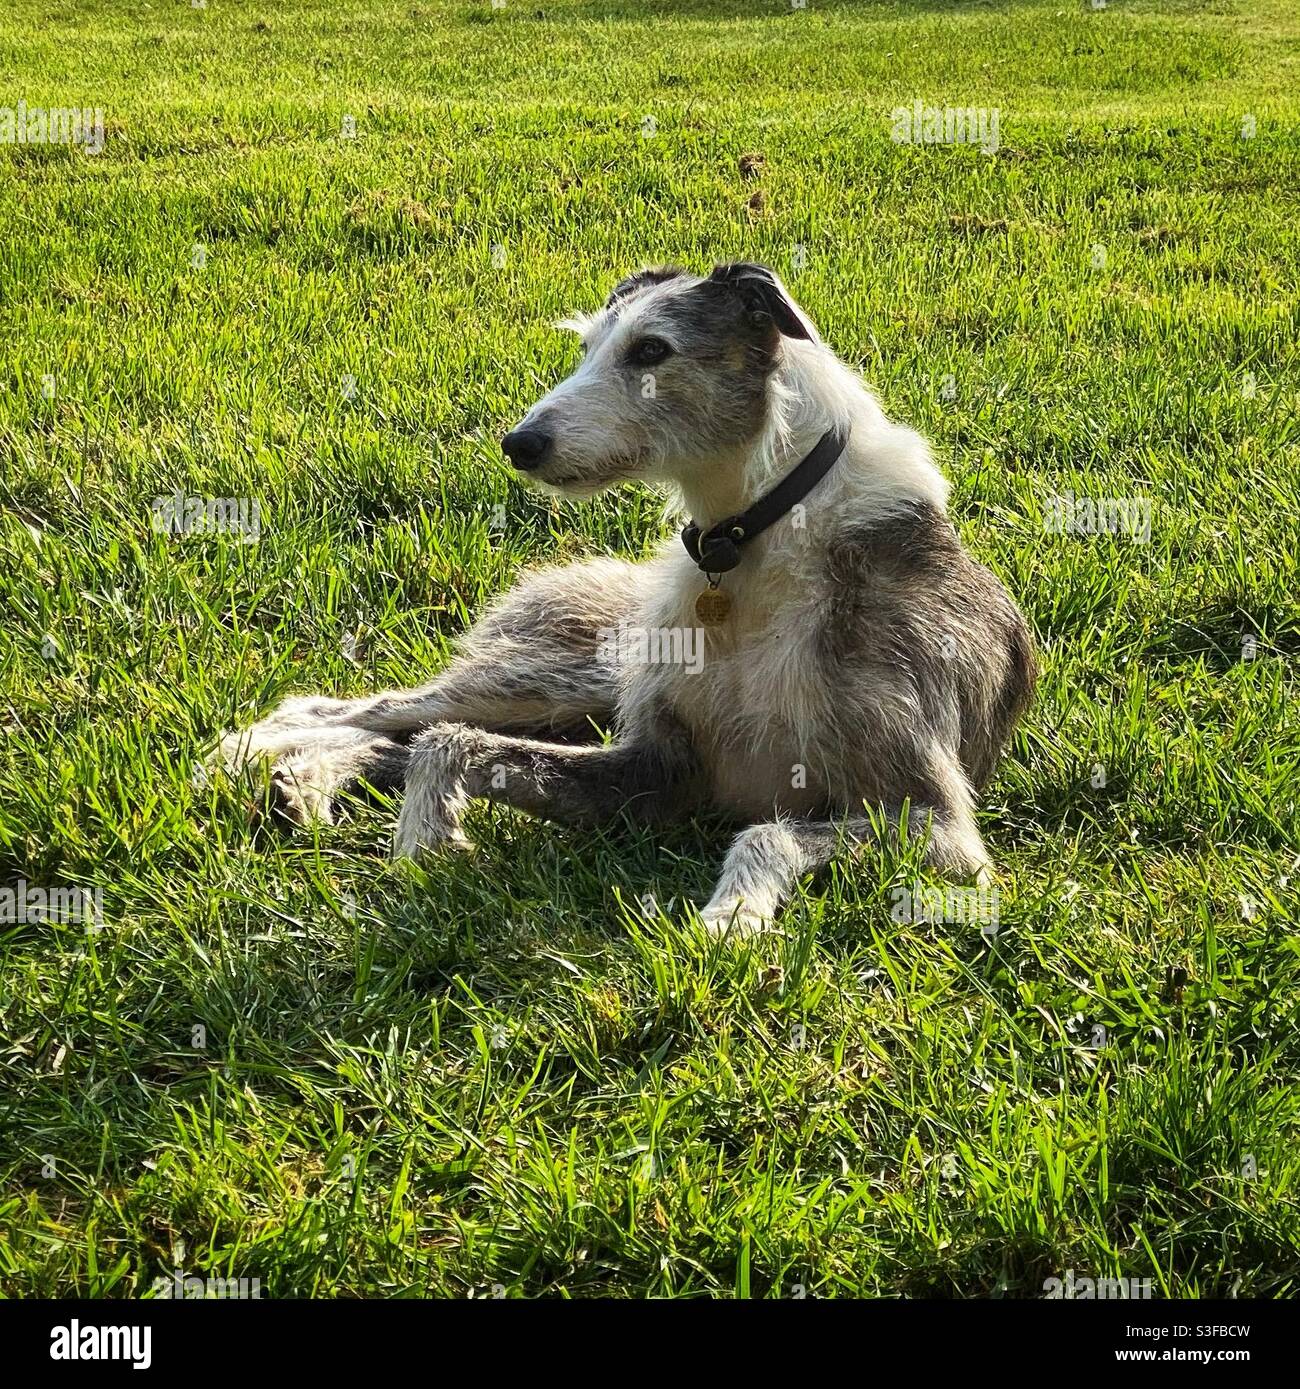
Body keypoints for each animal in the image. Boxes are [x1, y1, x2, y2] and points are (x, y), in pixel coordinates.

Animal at [220, 262, 1033, 933]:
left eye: (650, 351)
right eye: (586, 348)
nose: (519, 444)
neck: (755, 531)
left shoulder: (939, 827)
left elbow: (765, 830)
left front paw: (731, 918)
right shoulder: (656, 765)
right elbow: (450, 744)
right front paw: (425, 833)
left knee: (398, 734)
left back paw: (301, 778)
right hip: (559, 675)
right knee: (372, 711)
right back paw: (251, 752)